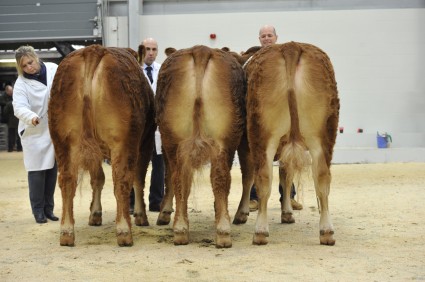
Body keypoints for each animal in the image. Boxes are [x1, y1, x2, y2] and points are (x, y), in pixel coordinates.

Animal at [48, 45, 154, 246]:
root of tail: (93, 50)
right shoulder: (146, 141)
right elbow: (139, 179)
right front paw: (140, 215)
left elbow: (97, 178)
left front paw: (95, 214)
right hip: (124, 141)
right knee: (122, 180)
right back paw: (124, 231)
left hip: (62, 140)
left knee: (67, 180)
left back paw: (66, 232)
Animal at [154, 45, 245, 248]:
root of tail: (201, 49)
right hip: (221, 141)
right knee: (217, 178)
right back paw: (221, 230)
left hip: (174, 140)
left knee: (181, 178)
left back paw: (182, 229)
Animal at [232, 41, 338, 245]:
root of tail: (291, 46)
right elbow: (286, 176)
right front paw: (287, 212)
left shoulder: (244, 146)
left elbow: (248, 178)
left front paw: (242, 213)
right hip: (322, 136)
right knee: (322, 178)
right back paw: (326, 231)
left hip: (262, 135)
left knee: (263, 178)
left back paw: (260, 231)